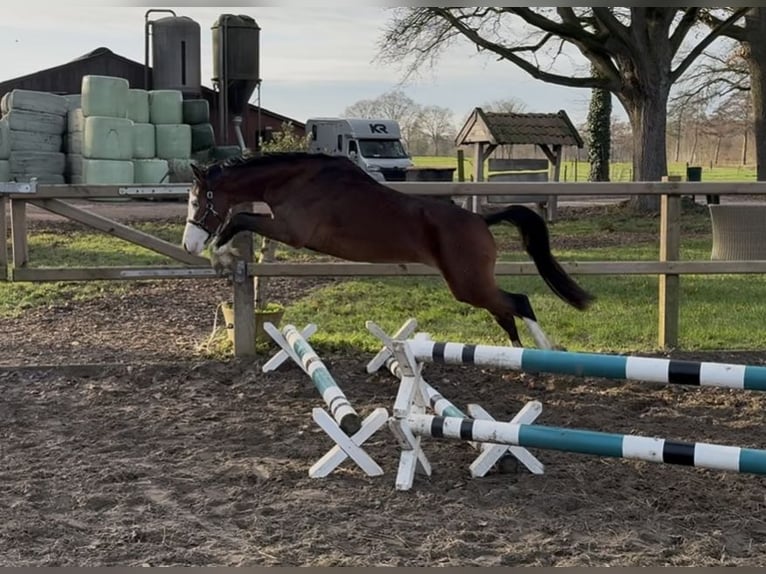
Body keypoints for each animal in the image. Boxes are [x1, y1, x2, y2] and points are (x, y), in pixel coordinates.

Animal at [181, 152, 594, 348]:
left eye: (198, 202)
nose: (188, 243)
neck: (296, 180)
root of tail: (481, 220)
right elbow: (240, 220)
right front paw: (220, 255)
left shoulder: (290, 232)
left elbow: (239, 220)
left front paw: (218, 255)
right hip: (470, 285)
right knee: (505, 312)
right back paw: (520, 354)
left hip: (468, 284)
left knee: (518, 302)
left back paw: (547, 349)